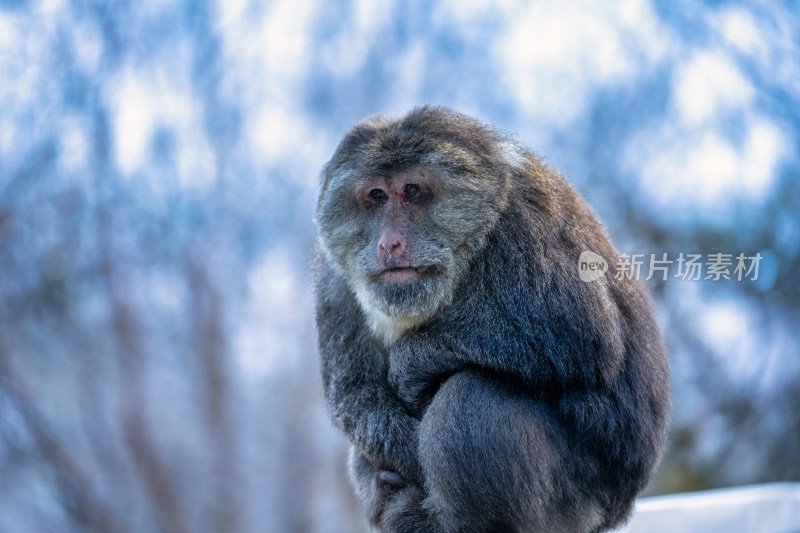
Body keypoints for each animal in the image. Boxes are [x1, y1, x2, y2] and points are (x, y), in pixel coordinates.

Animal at [312, 107, 668, 532]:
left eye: (411, 191)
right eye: (376, 196)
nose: (389, 244)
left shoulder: (523, 224)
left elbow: (584, 335)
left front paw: (414, 360)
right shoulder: (333, 277)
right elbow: (354, 392)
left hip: (577, 502)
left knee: (470, 401)